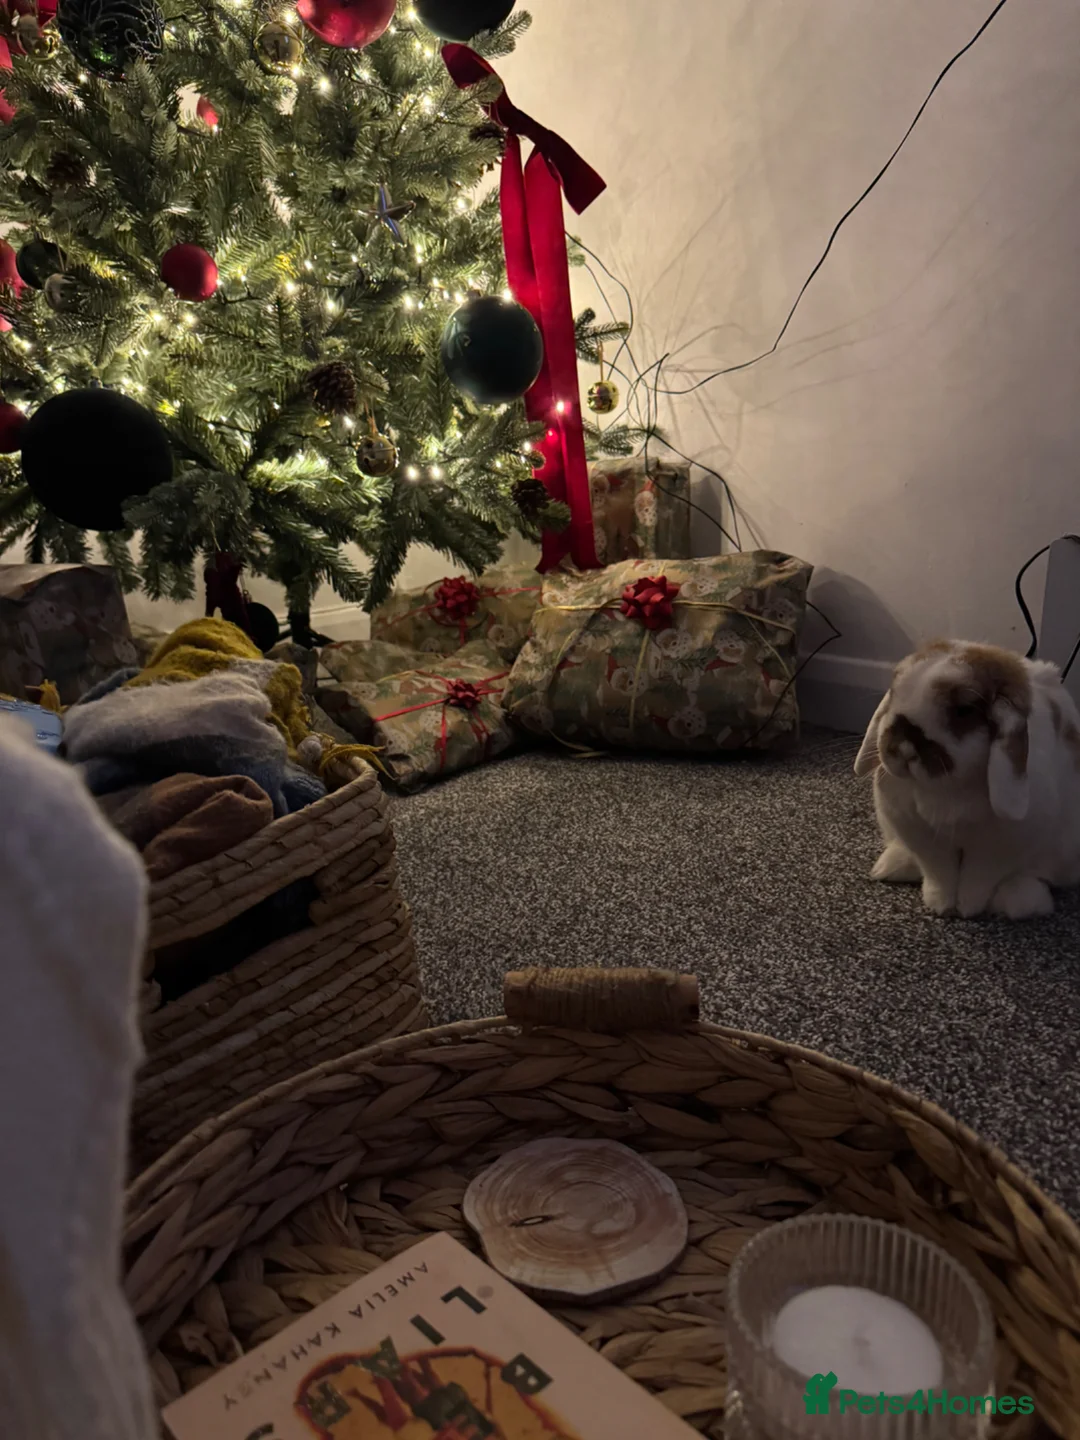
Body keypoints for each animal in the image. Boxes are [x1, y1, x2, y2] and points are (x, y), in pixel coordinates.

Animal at [854, 640, 1080, 919]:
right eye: (895, 691)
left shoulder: (1001, 846)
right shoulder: (921, 835)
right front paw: (941, 905)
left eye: (964, 710)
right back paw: (890, 866)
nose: (903, 748)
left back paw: (1023, 900)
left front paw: (967, 908)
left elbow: (979, 878)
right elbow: (939, 873)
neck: (950, 788)